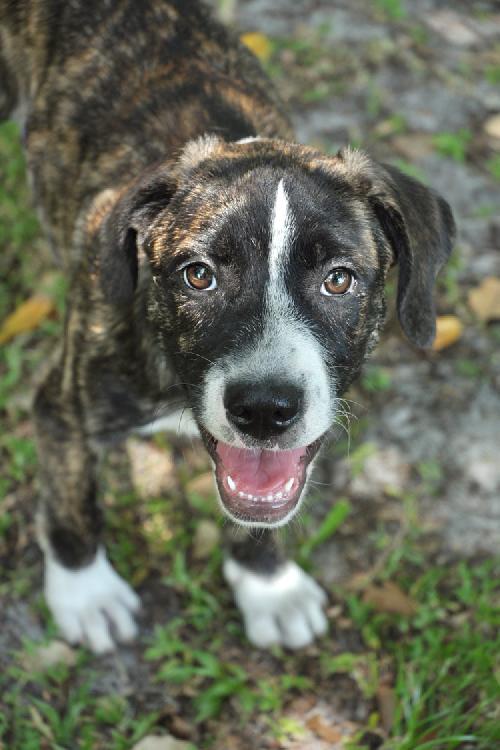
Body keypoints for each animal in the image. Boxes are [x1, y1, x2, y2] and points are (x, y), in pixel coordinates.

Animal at [0, 0, 454, 656]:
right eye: (199, 276)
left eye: (339, 280)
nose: (264, 410)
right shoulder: (64, 409)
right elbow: (71, 503)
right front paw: (86, 594)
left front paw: (268, 585)